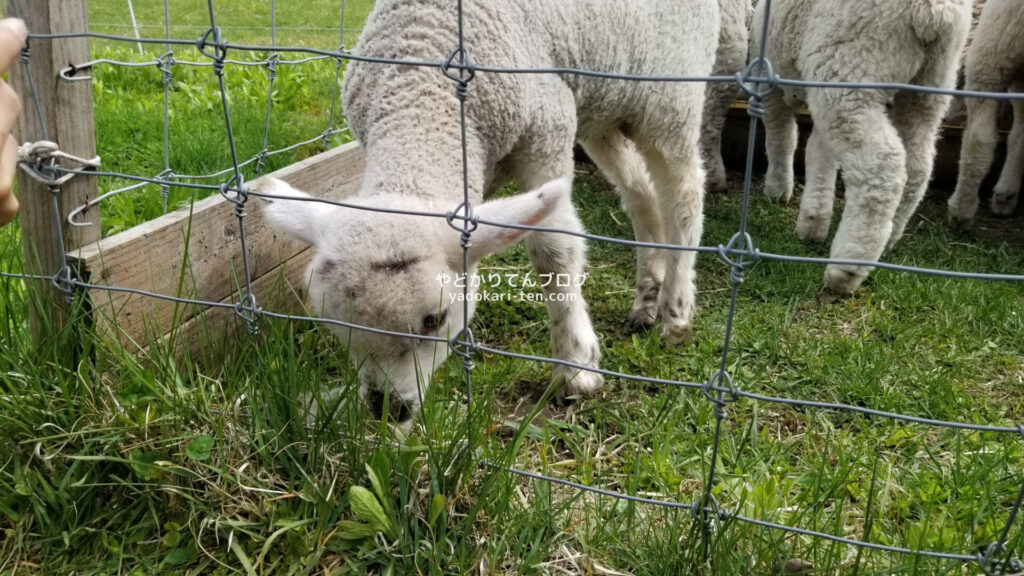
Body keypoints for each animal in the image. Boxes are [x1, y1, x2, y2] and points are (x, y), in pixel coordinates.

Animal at [256, 0, 720, 422]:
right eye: (334, 323)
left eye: (434, 319)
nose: (388, 409)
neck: (421, 89)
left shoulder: (545, 132)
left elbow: (555, 250)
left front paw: (576, 366)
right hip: (607, 108)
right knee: (640, 193)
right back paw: (647, 297)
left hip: (669, 94)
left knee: (683, 195)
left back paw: (675, 311)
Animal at [753, 0, 966, 293]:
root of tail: (933, 11)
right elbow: (818, 150)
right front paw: (813, 221)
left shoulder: (769, 74)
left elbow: (780, 133)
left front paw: (777, 189)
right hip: (931, 85)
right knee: (918, 165)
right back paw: (889, 239)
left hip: (850, 70)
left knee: (882, 167)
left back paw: (847, 269)